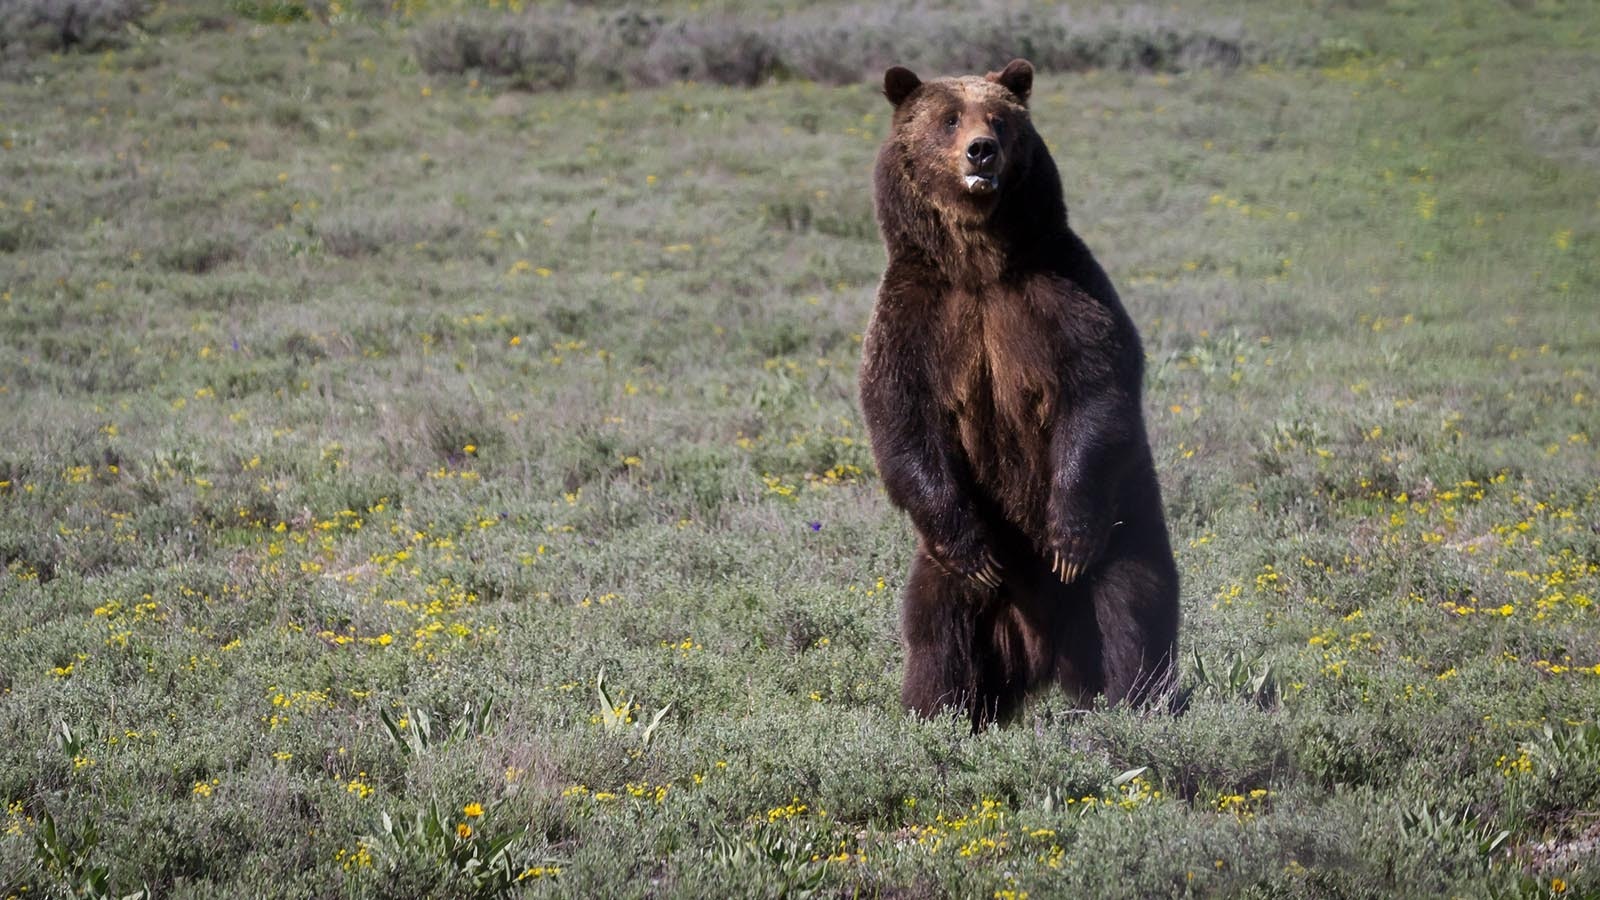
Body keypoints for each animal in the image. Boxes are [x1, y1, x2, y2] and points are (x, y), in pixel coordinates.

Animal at [857, 61, 1184, 720]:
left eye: (999, 118)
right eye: (948, 118)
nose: (981, 150)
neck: (980, 266)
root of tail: (1044, 656)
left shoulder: (1061, 292)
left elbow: (1095, 393)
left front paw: (1067, 540)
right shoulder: (915, 316)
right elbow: (902, 418)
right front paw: (973, 552)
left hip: (1128, 526)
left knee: (1134, 610)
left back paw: (1136, 702)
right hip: (949, 572)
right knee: (939, 630)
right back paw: (937, 712)